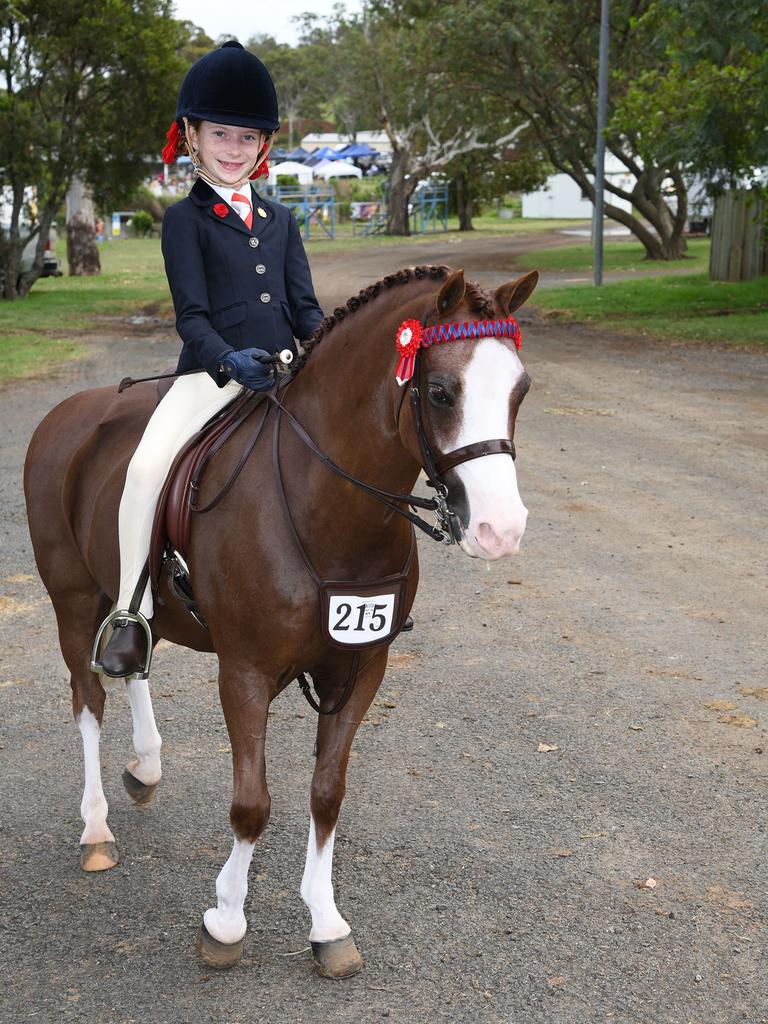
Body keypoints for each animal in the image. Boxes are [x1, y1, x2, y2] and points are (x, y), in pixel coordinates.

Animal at [25, 262, 540, 974]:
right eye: (440, 392)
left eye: (521, 389)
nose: (501, 530)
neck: (329, 508)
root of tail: (68, 411)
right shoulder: (244, 671)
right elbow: (251, 805)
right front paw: (225, 922)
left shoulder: (360, 666)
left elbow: (326, 794)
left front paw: (326, 923)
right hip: (71, 598)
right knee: (87, 698)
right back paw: (97, 828)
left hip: (122, 596)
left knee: (133, 660)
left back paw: (146, 767)